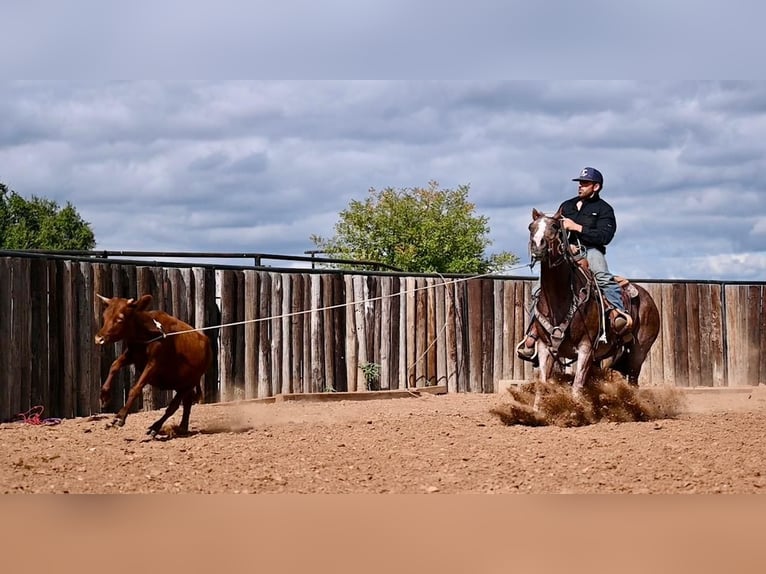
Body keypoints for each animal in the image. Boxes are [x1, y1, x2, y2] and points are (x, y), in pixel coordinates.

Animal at [98, 294, 216, 438]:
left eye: (120, 318)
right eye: (105, 316)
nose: (99, 338)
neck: (148, 332)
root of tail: (207, 344)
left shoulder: (153, 364)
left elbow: (136, 388)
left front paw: (120, 417)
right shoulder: (131, 355)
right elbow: (114, 365)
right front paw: (104, 395)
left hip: (189, 383)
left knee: (173, 406)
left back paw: (155, 427)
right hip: (180, 383)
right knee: (187, 401)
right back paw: (182, 427)